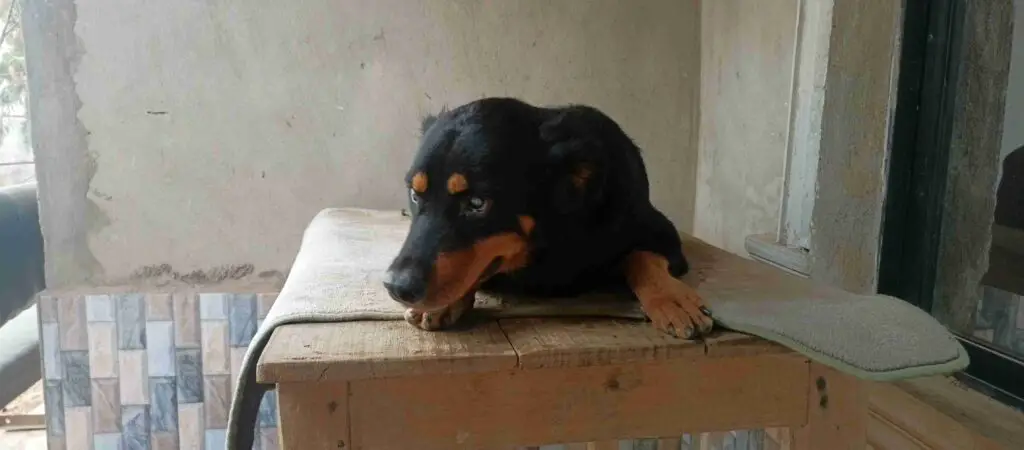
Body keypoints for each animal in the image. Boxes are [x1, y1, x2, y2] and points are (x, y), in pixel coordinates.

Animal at [385, 97, 712, 338]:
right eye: (415, 194)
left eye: (477, 203)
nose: (396, 287)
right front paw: (445, 303)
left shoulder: (662, 231)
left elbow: (642, 256)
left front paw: (670, 297)